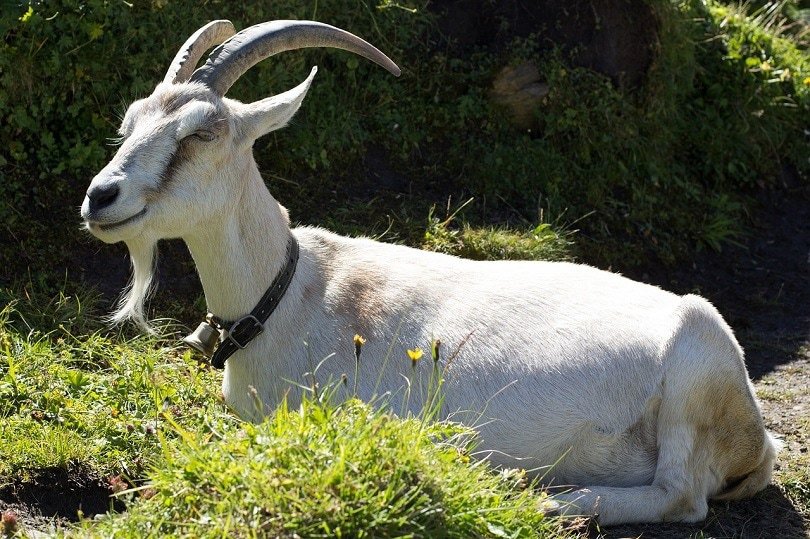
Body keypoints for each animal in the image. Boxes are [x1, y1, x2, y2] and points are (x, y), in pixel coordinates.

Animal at [80, 19, 778, 525]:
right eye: (130, 121)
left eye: (203, 131)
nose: (100, 197)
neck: (292, 293)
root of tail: (758, 440)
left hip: (695, 366)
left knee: (681, 496)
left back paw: (550, 497)